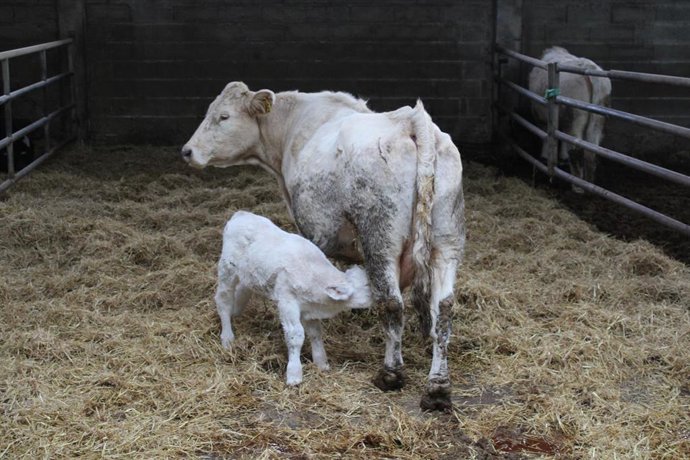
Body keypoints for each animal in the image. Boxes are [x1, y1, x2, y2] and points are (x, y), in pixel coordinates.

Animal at [215, 210, 372, 386]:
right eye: (368, 285)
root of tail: (240, 214)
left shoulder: (309, 308)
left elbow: (315, 333)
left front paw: (321, 363)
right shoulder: (287, 301)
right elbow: (295, 335)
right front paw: (294, 374)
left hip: (249, 274)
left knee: (243, 288)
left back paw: (236, 311)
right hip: (227, 268)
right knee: (223, 299)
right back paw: (227, 337)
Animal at [528, 46, 612, 192]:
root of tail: (588, 66)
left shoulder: (540, 115)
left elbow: (546, 135)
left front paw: (545, 157)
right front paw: (563, 158)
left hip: (574, 117)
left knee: (575, 147)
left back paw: (577, 186)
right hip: (598, 118)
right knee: (591, 149)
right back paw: (589, 183)